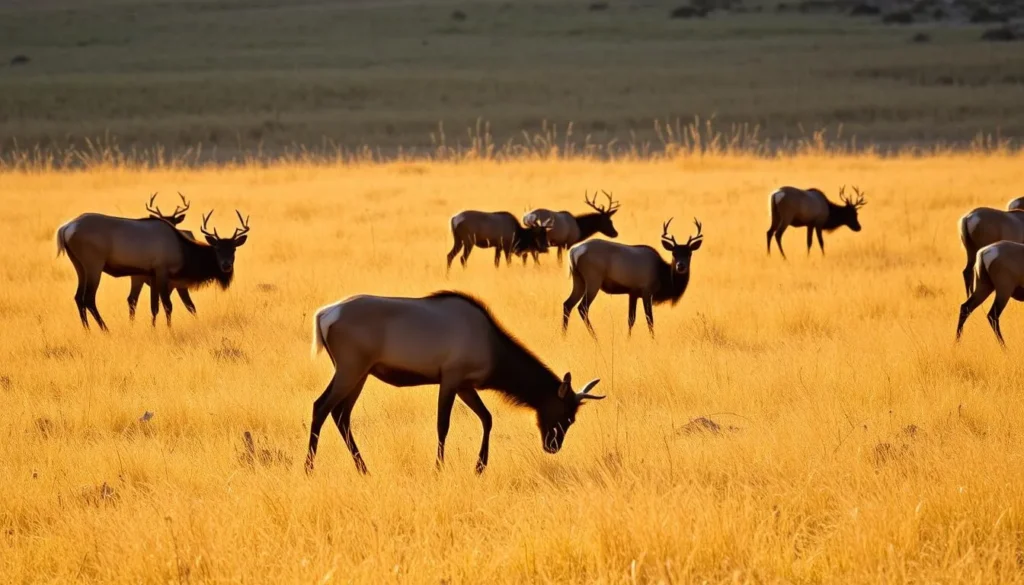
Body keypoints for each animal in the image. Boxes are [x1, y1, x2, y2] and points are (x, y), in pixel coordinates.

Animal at [54, 209, 249, 330]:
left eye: (233, 249)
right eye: (217, 249)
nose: (226, 266)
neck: (183, 253)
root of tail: (65, 228)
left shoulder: (152, 274)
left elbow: (154, 307)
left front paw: (153, 328)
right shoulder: (162, 271)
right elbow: (168, 305)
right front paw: (169, 329)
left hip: (79, 265)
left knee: (78, 297)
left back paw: (87, 330)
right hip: (93, 263)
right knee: (88, 298)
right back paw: (105, 329)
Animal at [308, 291, 605, 474]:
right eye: (566, 415)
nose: (552, 446)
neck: (494, 356)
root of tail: (323, 315)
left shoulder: (465, 384)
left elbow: (487, 418)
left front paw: (480, 466)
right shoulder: (451, 376)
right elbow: (443, 425)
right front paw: (439, 468)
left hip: (360, 372)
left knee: (341, 414)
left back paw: (363, 468)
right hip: (351, 367)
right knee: (321, 406)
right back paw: (309, 467)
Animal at [562, 218, 703, 337]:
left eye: (689, 253)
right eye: (674, 253)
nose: (680, 266)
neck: (662, 276)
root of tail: (574, 252)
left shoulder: (633, 292)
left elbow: (631, 319)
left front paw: (628, 339)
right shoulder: (647, 291)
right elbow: (650, 319)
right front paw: (653, 340)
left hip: (578, 280)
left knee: (567, 304)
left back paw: (564, 336)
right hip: (593, 279)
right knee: (582, 307)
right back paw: (595, 338)